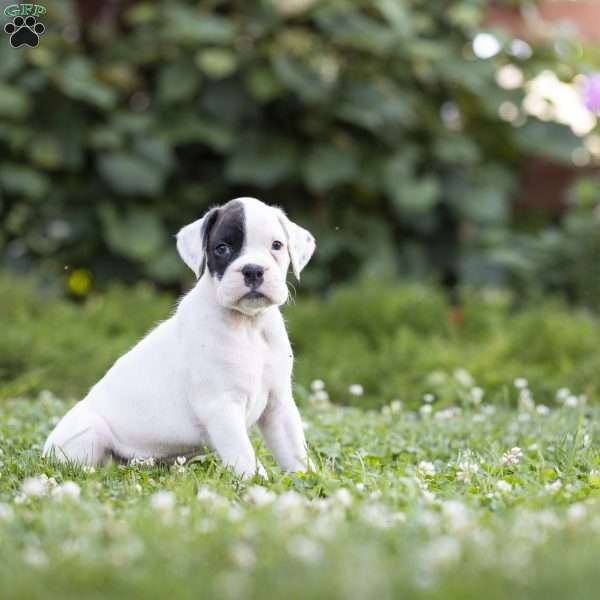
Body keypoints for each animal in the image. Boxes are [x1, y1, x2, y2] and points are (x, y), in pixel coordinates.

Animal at [44, 197, 316, 478]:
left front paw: (310, 478)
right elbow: (244, 456)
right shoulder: (221, 407)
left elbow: (295, 451)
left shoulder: (279, 405)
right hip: (90, 430)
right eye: (222, 248)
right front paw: (254, 482)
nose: (253, 270)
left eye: (277, 246)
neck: (248, 325)